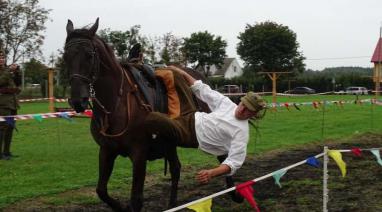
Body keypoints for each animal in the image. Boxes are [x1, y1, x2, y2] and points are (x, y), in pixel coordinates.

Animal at [63, 18, 240, 212]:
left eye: (89, 55)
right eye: (66, 57)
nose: (77, 100)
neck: (117, 104)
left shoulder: (139, 154)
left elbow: (136, 199)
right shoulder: (107, 151)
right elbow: (101, 191)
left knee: (222, 156)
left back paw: (234, 193)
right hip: (171, 141)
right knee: (176, 168)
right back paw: (173, 204)